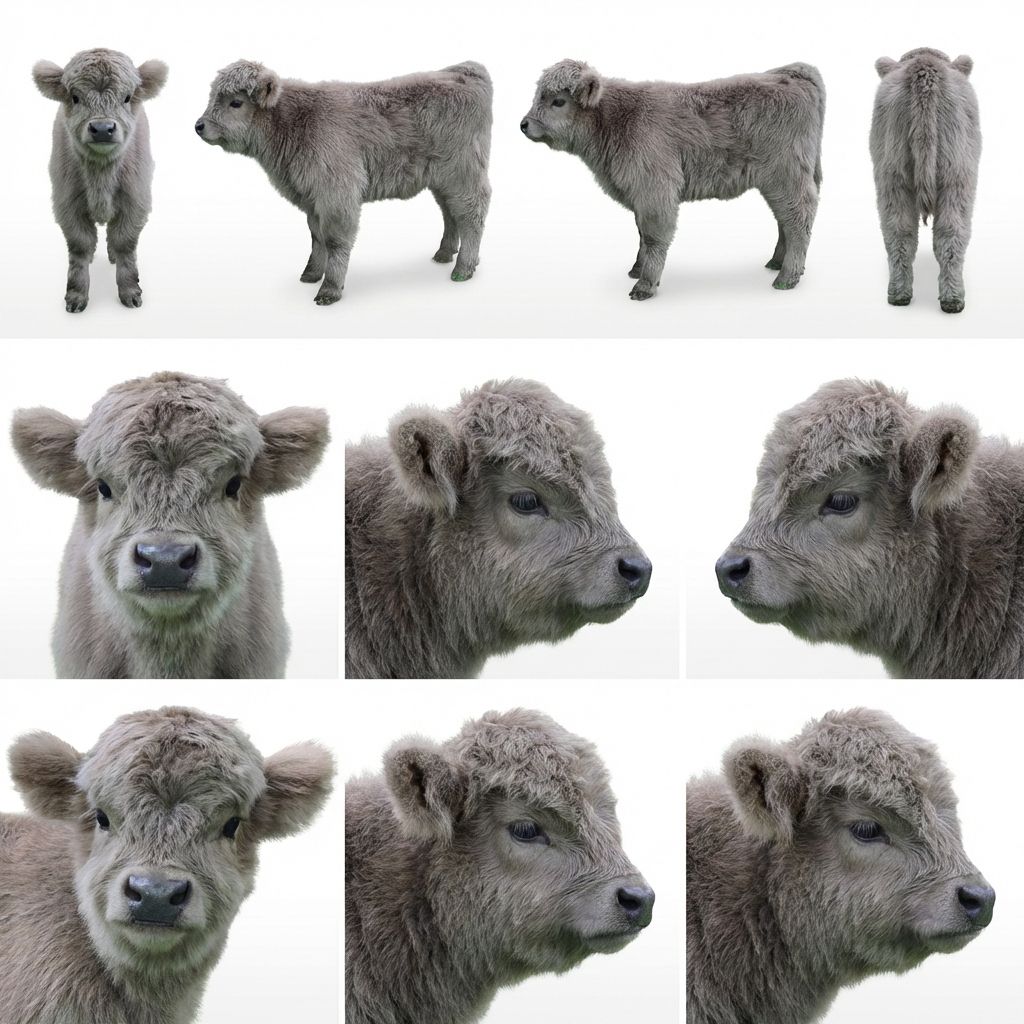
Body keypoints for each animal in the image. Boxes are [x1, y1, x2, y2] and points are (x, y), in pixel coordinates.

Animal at [33, 49, 168, 312]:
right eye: (75, 97)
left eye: (127, 97)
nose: (103, 128)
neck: (101, 175)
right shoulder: (67, 204)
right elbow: (80, 247)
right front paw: (76, 296)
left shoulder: (136, 202)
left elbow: (125, 243)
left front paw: (130, 292)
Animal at [195, 59, 492, 304]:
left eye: (236, 102)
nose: (199, 126)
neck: (295, 122)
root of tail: (463, 70)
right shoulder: (313, 197)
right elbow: (316, 237)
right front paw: (311, 273)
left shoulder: (337, 193)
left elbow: (335, 240)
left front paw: (330, 289)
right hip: (442, 179)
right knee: (450, 212)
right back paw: (444, 253)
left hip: (463, 173)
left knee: (471, 214)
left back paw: (464, 268)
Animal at [520, 59, 825, 299]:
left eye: (558, 101)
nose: (523, 124)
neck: (616, 119)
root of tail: (790, 74)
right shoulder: (640, 194)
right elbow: (641, 234)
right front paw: (636, 269)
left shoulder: (654, 189)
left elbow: (653, 236)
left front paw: (645, 285)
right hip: (778, 182)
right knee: (784, 220)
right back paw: (777, 262)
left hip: (786, 176)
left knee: (798, 219)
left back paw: (787, 277)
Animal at [870, 48, 981, 313]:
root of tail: (925, 67)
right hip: (957, 176)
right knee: (951, 235)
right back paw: (952, 299)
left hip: (893, 174)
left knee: (901, 232)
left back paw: (902, 295)